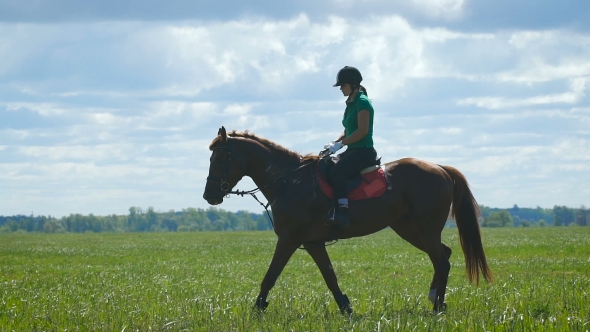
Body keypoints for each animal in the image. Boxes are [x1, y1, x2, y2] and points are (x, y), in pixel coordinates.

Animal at [204, 126, 494, 312]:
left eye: (219, 159)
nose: (209, 195)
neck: (290, 180)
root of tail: (440, 168)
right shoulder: (313, 243)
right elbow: (330, 277)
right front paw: (346, 307)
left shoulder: (289, 239)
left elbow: (270, 275)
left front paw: (258, 308)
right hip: (409, 228)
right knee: (443, 255)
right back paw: (436, 299)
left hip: (424, 228)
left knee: (441, 260)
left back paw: (437, 306)